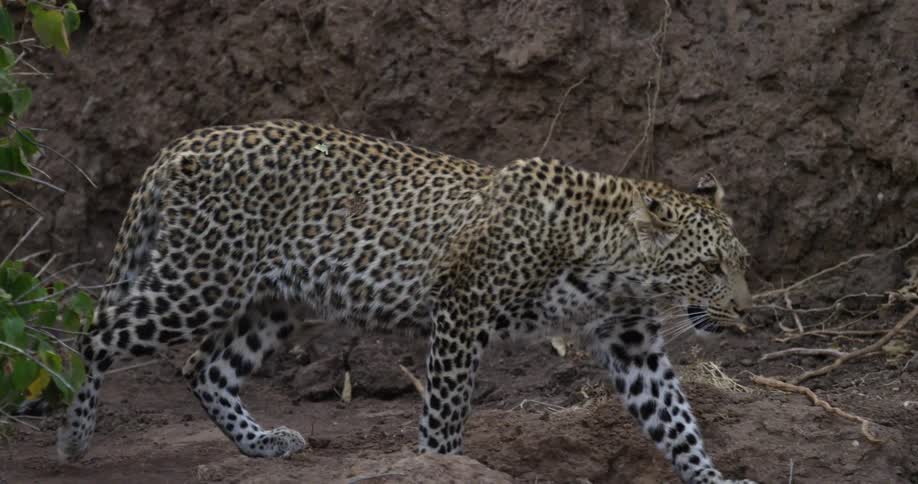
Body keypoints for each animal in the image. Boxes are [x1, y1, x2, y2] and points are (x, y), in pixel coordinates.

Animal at [56, 119, 757, 484]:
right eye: (709, 267)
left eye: (740, 264)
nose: (747, 313)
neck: (616, 266)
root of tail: (184, 144)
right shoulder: (462, 310)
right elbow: (445, 416)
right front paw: (436, 466)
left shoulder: (632, 343)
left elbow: (676, 421)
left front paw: (713, 479)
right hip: (199, 281)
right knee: (94, 333)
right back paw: (72, 437)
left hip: (271, 303)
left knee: (205, 367)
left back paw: (262, 444)